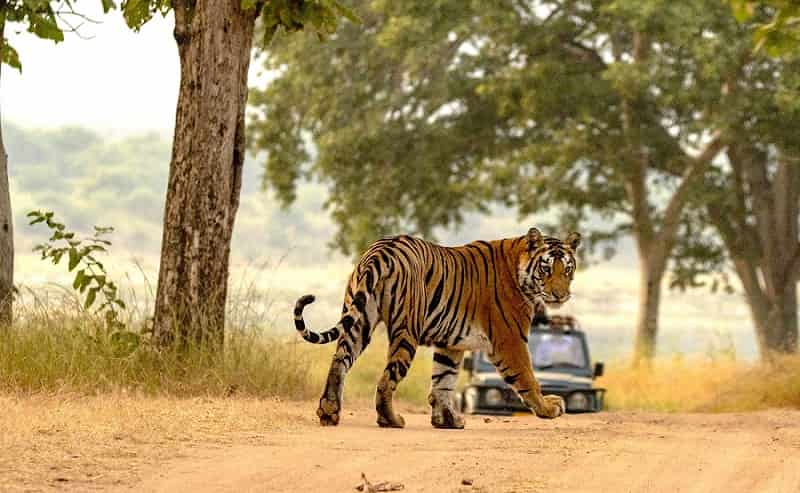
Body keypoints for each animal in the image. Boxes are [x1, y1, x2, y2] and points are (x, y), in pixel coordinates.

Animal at [294, 227, 580, 426]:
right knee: (387, 379)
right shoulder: (509, 341)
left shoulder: (451, 342)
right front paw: (548, 408)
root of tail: (381, 250)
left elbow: (444, 380)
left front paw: (447, 420)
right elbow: (528, 377)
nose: (560, 295)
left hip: (359, 321)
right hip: (406, 330)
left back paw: (329, 412)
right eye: (546, 270)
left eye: (567, 270)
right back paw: (391, 420)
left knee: (339, 362)